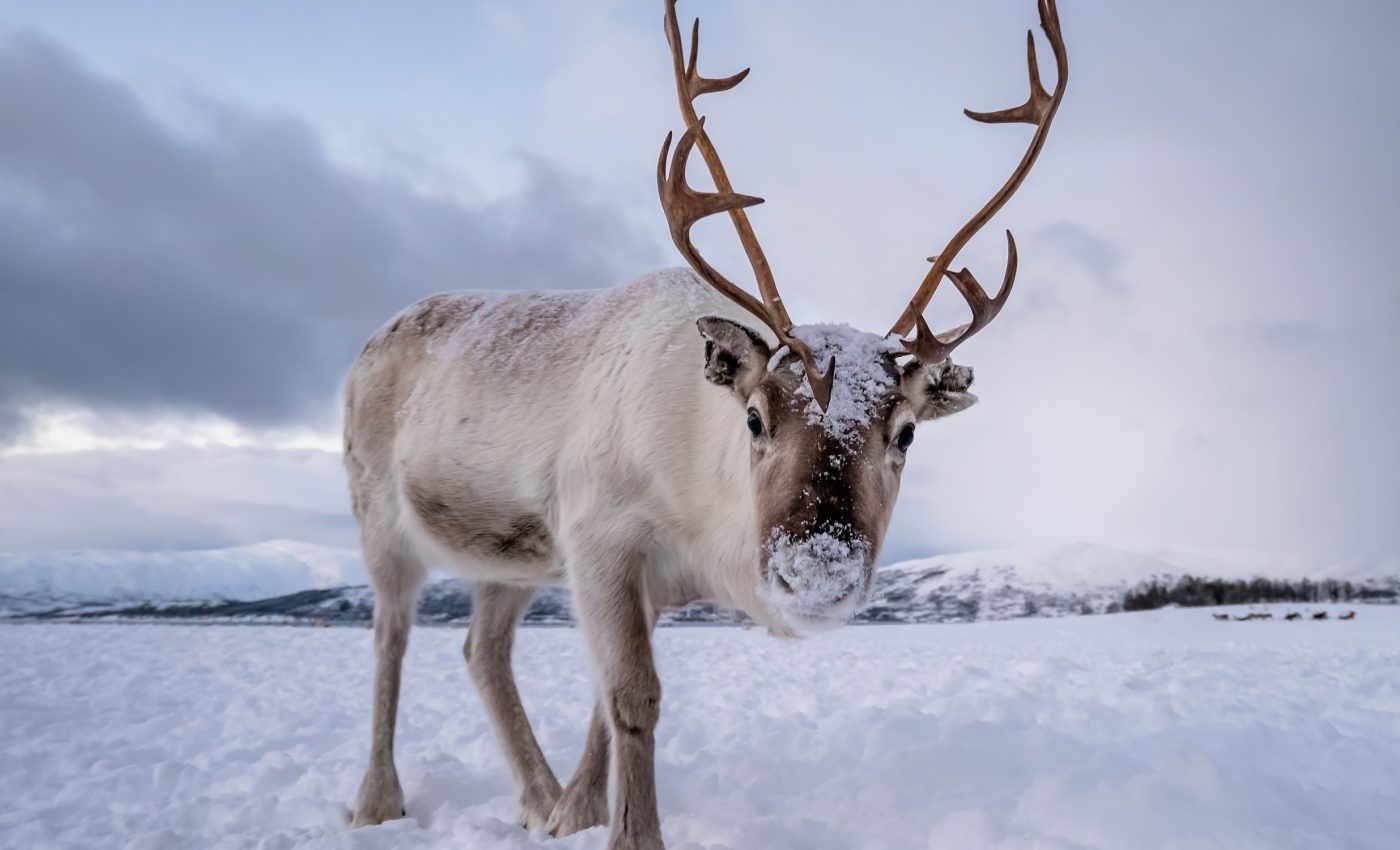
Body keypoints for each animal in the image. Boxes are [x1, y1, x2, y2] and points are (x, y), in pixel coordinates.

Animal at [340, 1, 1069, 847]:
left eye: (907, 432)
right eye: (754, 418)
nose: (815, 572)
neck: (698, 513)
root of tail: (375, 336)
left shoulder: (644, 581)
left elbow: (604, 703)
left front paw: (578, 814)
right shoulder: (597, 539)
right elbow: (632, 697)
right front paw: (628, 832)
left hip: (508, 558)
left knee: (481, 651)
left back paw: (536, 797)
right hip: (380, 517)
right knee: (390, 636)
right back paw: (377, 799)